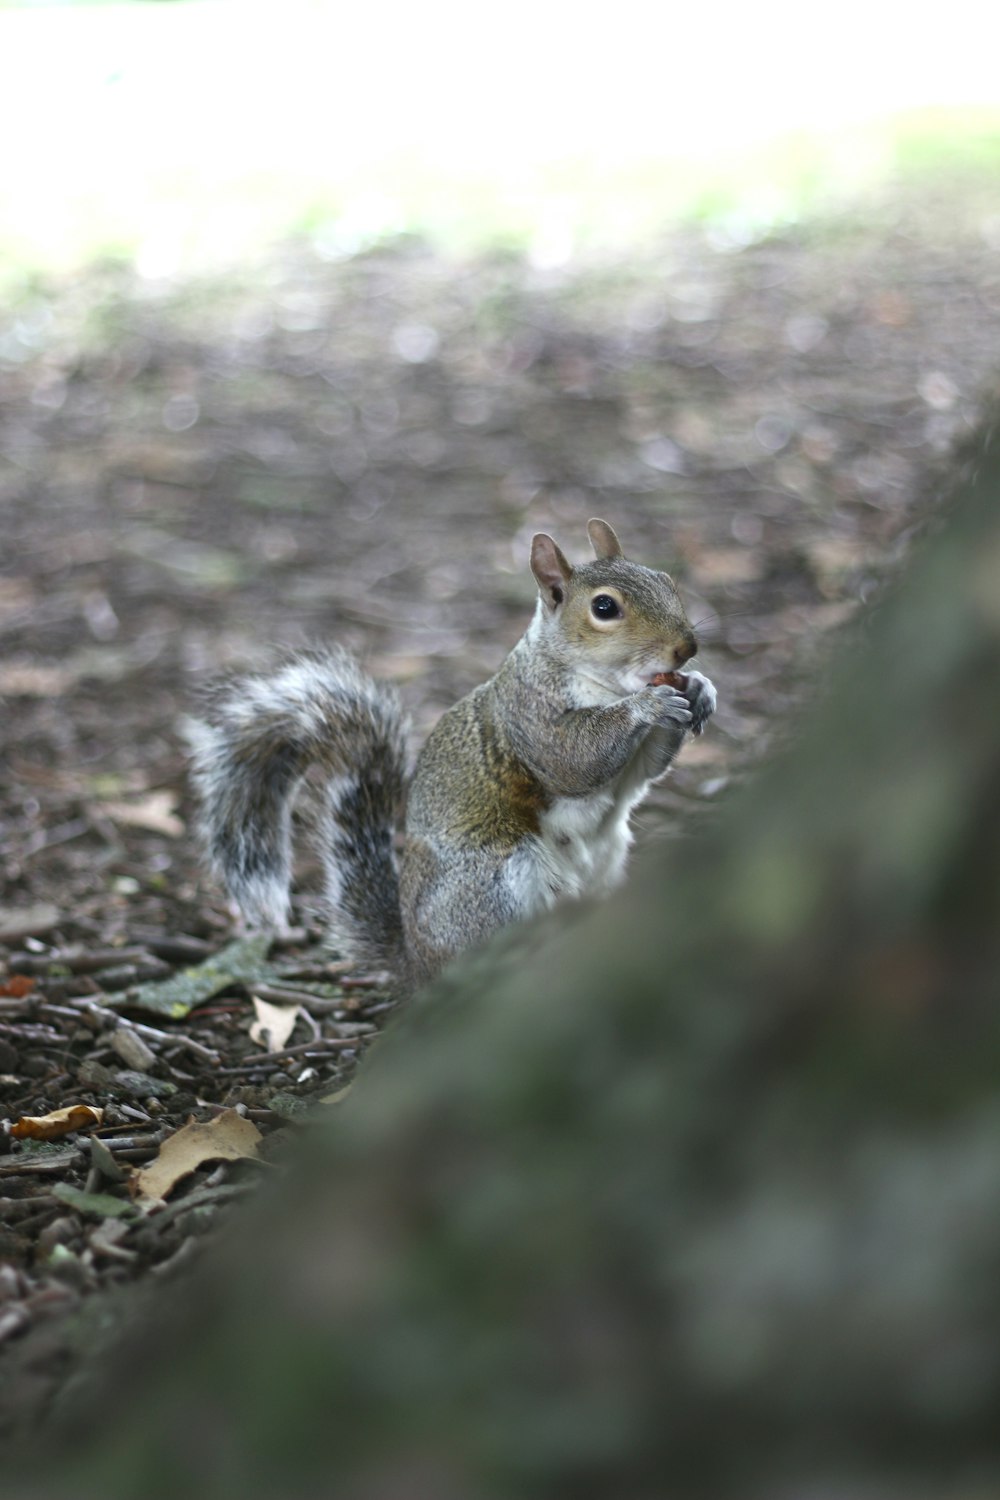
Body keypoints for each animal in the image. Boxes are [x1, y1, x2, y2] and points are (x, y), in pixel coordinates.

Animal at [187, 519, 716, 996]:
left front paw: (700, 688)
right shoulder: (531, 718)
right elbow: (574, 760)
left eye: (666, 580)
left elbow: (646, 771)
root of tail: (416, 962)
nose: (686, 647)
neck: (604, 683)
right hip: (493, 886)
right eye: (604, 607)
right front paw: (647, 705)